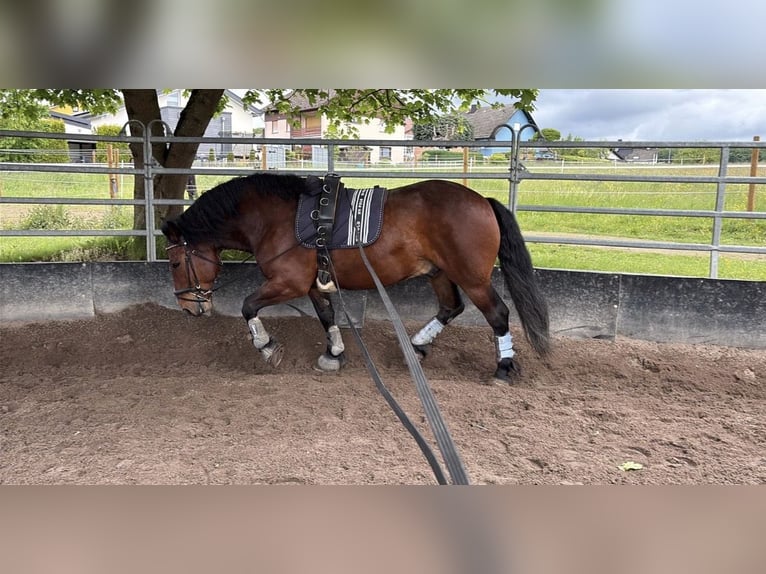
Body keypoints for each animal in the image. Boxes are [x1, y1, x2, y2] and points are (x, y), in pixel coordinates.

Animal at [160, 172, 550, 383]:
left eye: (176, 263)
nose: (188, 308)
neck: (275, 218)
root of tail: (482, 200)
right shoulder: (312, 284)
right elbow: (327, 315)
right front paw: (334, 354)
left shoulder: (287, 283)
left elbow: (247, 307)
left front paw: (267, 346)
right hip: (439, 272)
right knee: (450, 307)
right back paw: (416, 345)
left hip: (472, 278)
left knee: (497, 314)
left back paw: (503, 368)